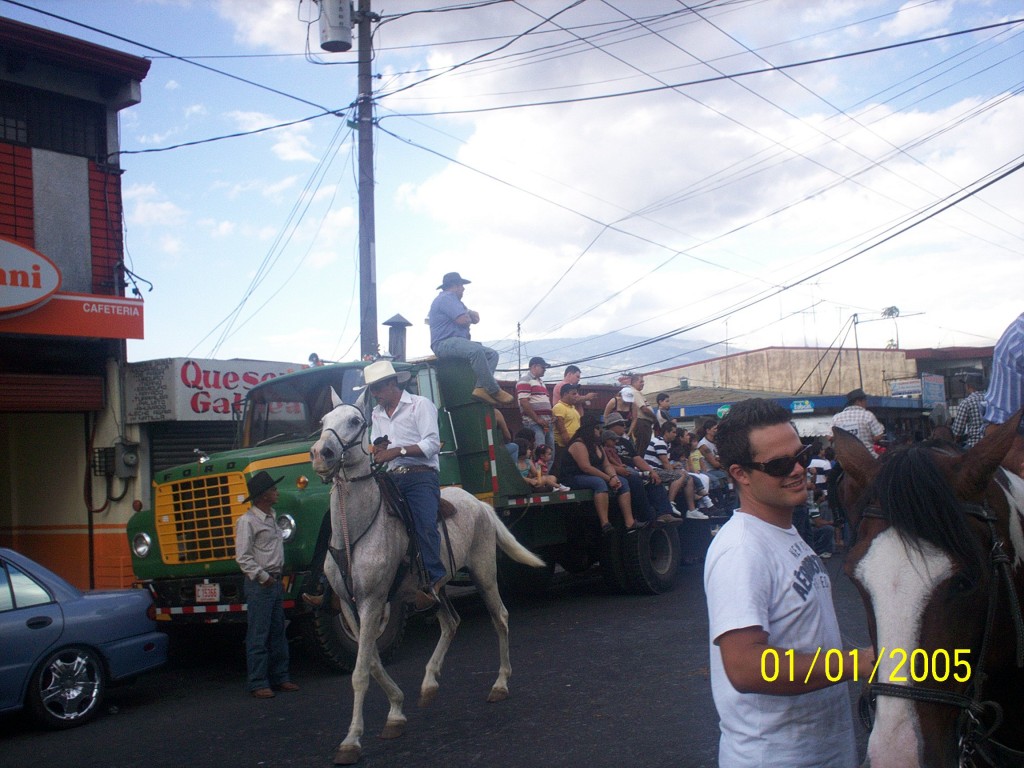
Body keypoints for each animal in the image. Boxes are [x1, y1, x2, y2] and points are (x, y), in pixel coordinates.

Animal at [307, 393, 544, 765]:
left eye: (355, 422)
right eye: (323, 421)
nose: (322, 453)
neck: (354, 531)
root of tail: (480, 504)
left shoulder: (374, 601)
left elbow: (360, 672)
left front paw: (351, 740)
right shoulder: (349, 604)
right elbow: (370, 660)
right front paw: (396, 711)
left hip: (484, 572)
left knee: (500, 617)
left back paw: (500, 684)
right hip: (437, 586)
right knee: (451, 622)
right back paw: (429, 684)